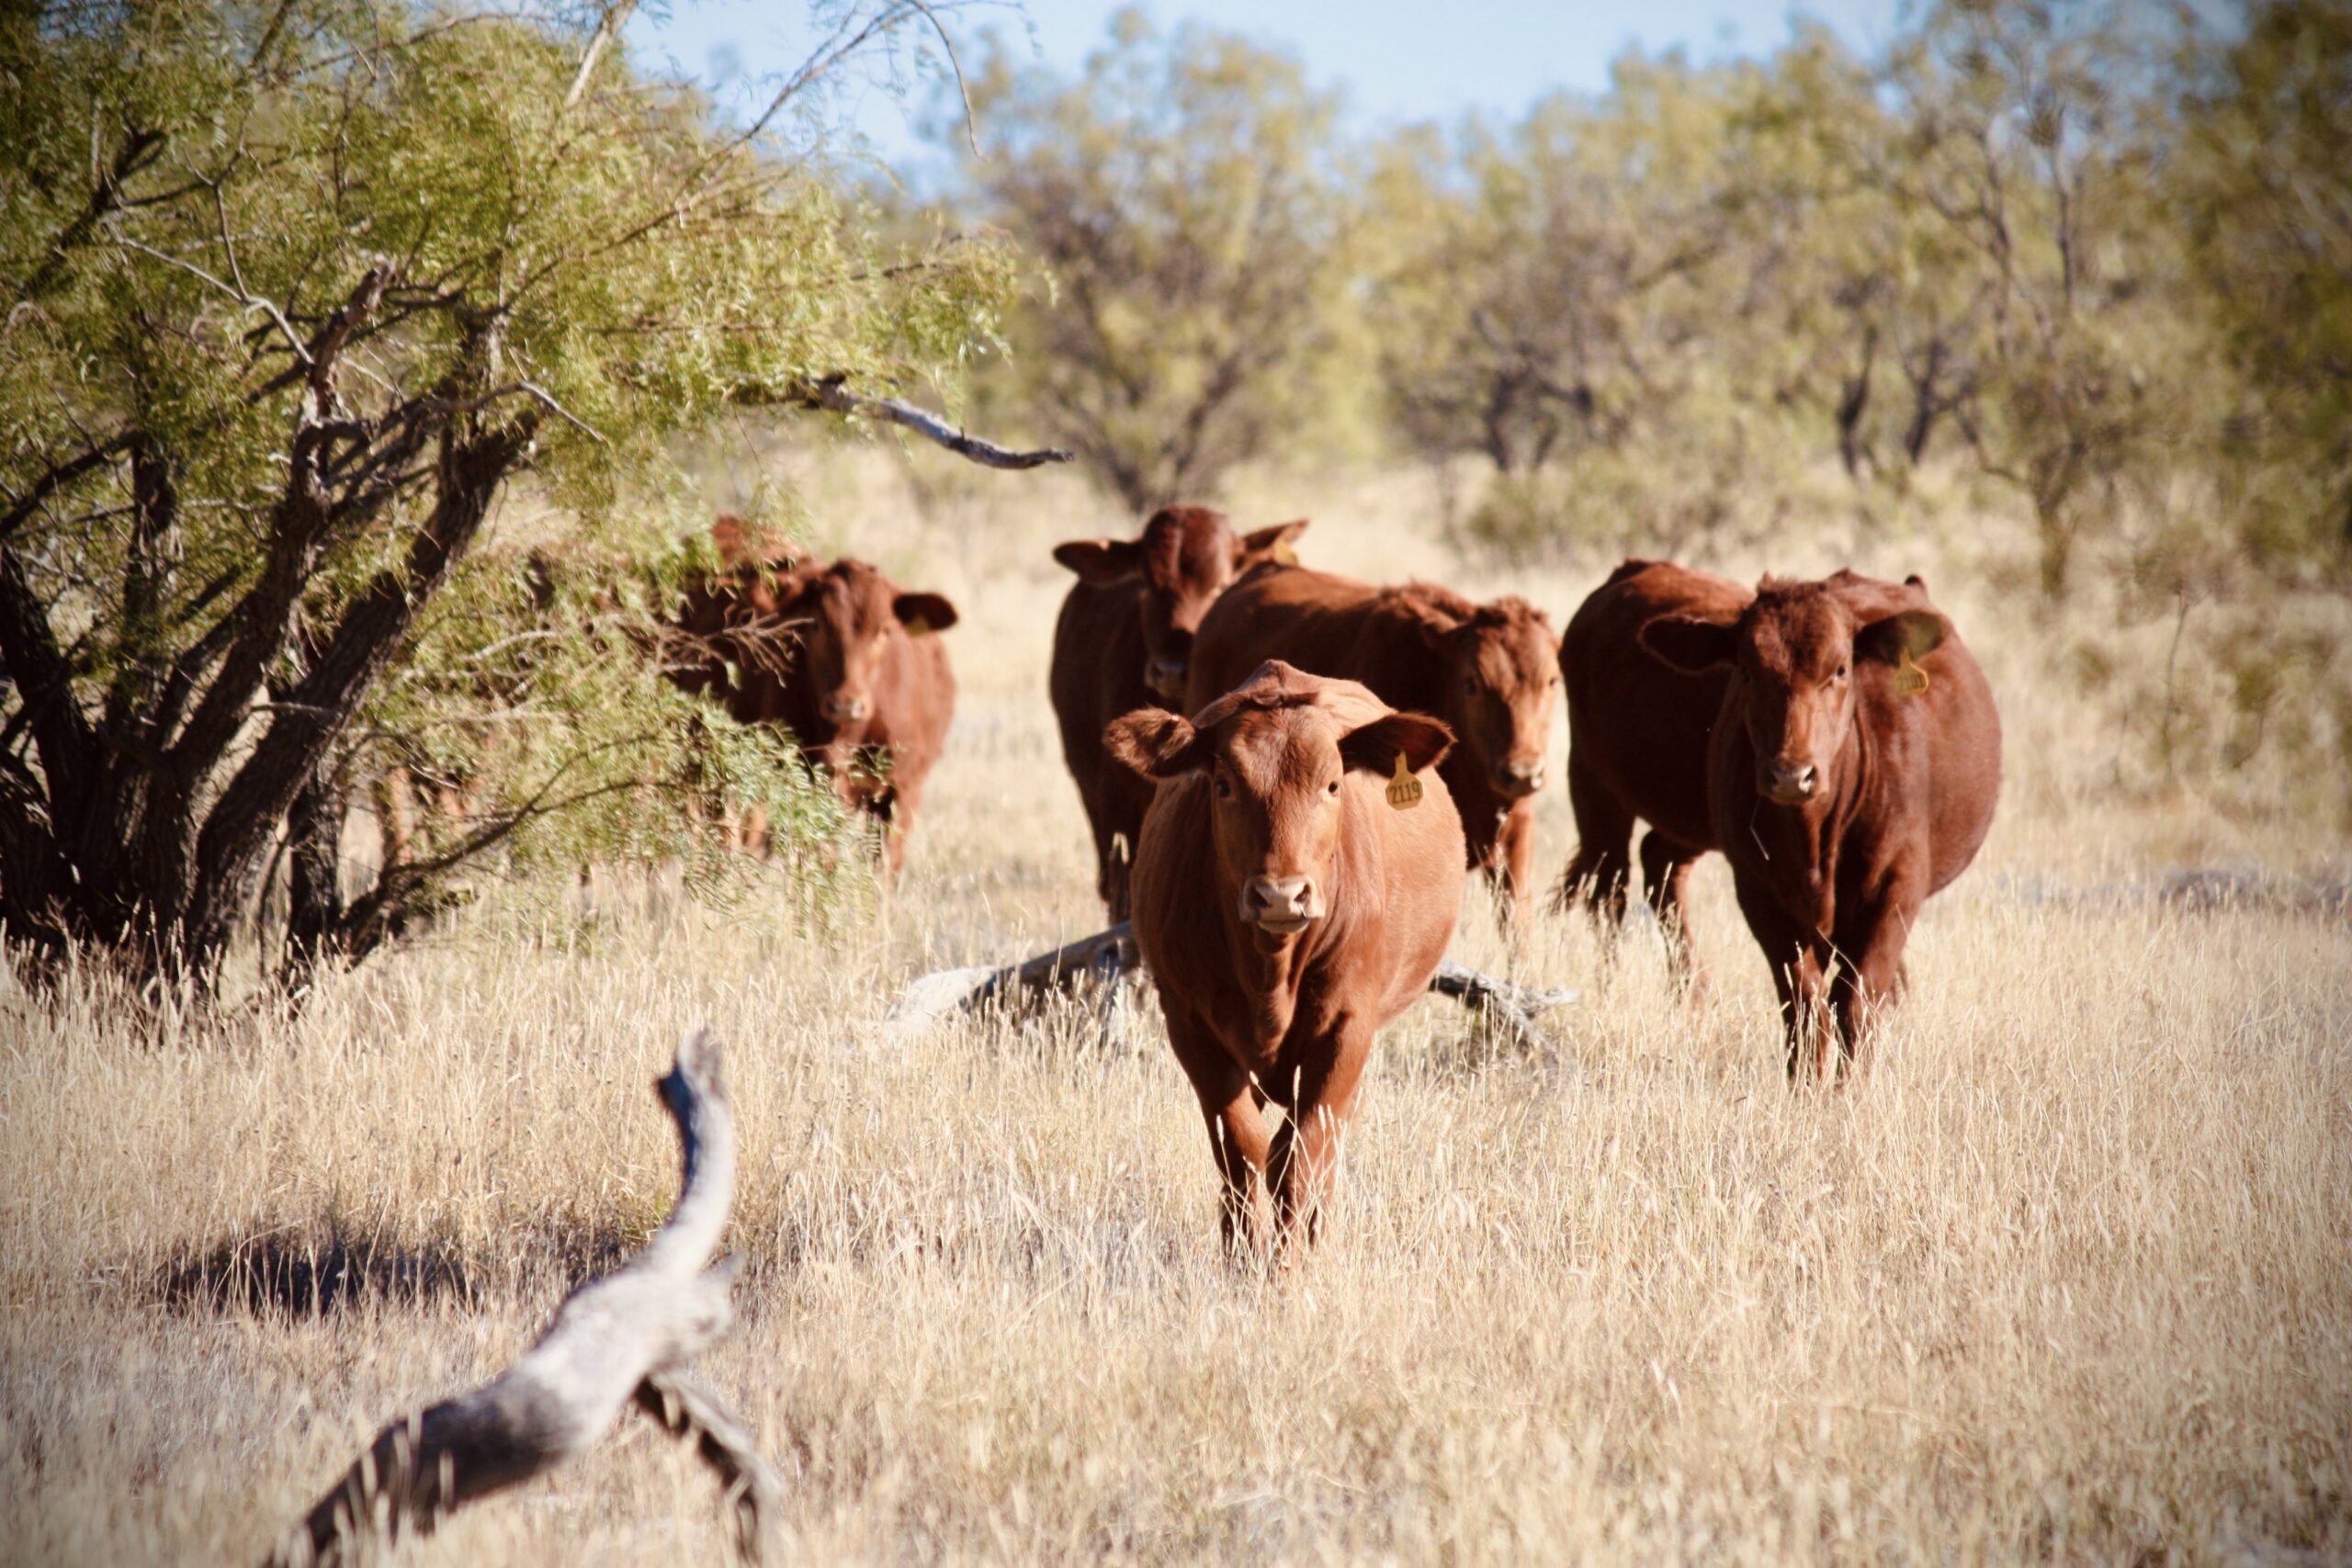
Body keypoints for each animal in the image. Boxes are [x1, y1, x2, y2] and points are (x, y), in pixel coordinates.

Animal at [1107, 660, 1464, 1256]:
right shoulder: (1189, 1025)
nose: (1280, 895)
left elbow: (1300, 1159)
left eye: (1333, 784)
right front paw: (1244, 1259)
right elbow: (1241, 1151)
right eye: (1224, 785)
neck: (1269, 974)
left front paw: (1291, 1266)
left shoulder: (1348, 1029)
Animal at [1638, 572, 2000, 1075]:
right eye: (1746, 672)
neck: (1813, 837)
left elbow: (1857, 1003)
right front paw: (1807, 1088)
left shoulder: (1897, 888)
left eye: (1841, 670)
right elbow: (1804, 1008)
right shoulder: (1759, 893)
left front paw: (1851, 1090)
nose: (1791, 774)